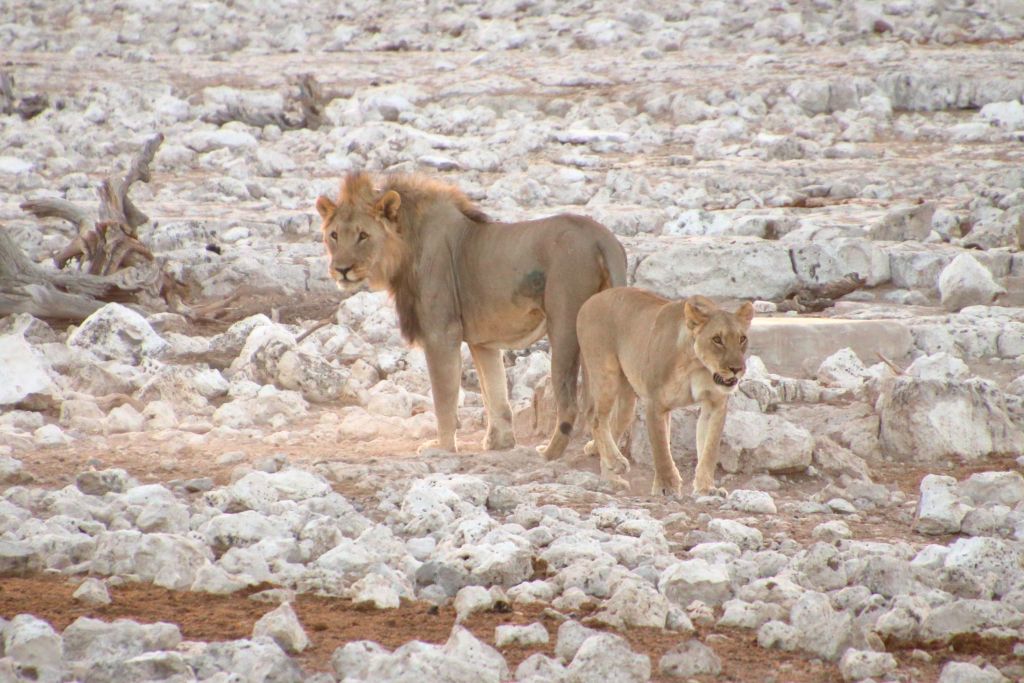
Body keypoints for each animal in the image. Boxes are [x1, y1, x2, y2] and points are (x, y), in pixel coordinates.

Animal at [315, 174, 626, 456]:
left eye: (363, 235)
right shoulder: (483, 342)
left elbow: (444, 398)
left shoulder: (441, 334)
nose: (341, 269)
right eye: (334, 235)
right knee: (605, 399)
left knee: (571, 404)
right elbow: (495, 394)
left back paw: (548, 453)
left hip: (563, 327)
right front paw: (500, 443)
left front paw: (441, 448)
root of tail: (601, 236)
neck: (405, 244)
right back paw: (596, 449)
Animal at [581, 288, 757, 497]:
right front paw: (667, 486)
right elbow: (660, 449)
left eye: (742, 338)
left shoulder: (715, 404)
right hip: (606, 374)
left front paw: (706, 488)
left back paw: (612, 478)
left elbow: (709, 449)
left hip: (626, 401)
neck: (697, 364)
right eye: (717, 339)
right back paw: (617, 462)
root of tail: (592, 299)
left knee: (614, 424)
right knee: (595, 417)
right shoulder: (655, 403)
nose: (736, 369)